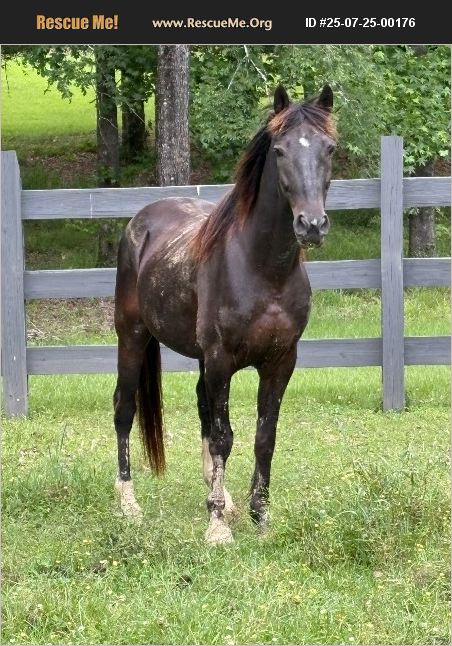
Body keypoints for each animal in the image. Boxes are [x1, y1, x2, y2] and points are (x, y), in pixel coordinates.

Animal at [113, 84, 336, 545]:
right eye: (281, 151)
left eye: (329, 148)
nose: (311, 225)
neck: (262, 269)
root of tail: (141, 221)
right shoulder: (220, 360)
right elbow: (222, 437)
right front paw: (217, 529)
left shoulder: (280, 361)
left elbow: (263, 437)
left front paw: (259, 516)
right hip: (132, 336)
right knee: (124, 408)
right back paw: (128, 505)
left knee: (201, 408)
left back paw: (223, 498)